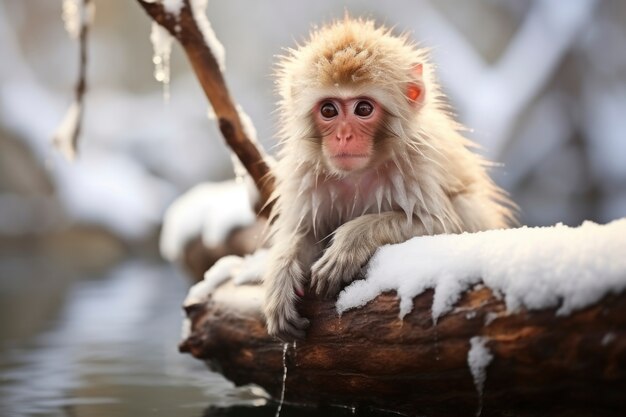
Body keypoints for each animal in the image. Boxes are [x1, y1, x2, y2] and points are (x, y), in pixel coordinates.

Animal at [262, 17, 512, 340]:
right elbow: (303, 231)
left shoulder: (417, 164)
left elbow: (444, 224)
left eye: (363, 109)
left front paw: (349, 243)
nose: (344, 136)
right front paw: (280, 279)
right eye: (329, 110)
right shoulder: (304, 174)